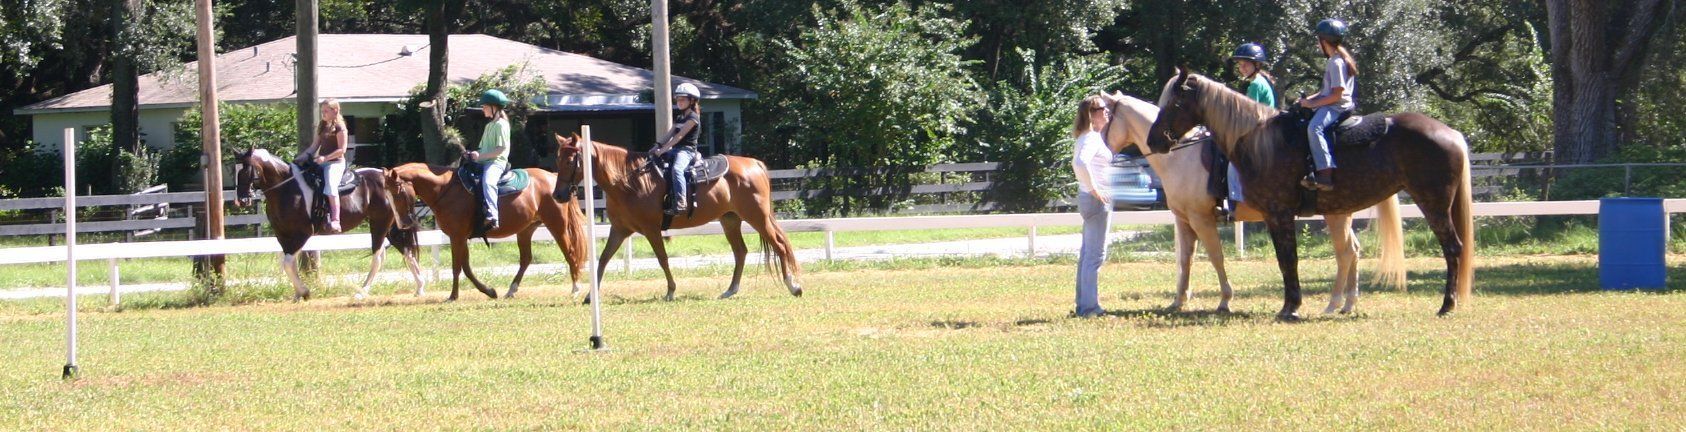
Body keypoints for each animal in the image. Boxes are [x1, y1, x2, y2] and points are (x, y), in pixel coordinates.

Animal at [232, 148, 425, 301]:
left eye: (247, 170)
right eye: (237, 172)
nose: (242, 200)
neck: (286, 188)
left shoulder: (302, 234)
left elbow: (287, 263)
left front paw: (304, 291)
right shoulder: (282, 235)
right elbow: (289, 263)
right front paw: (298, 294)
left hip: (380, 223)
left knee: (378, 256)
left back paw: (361, 292)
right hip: (391, 226)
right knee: (406, 251)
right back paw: (420, 287)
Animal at [384, 162, 589, 301]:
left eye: (398, 192)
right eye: (387, 194)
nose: (403, 223)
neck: (446, 190)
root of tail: (553, 177)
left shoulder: (457, 237)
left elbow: (457, 267)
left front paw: (453, 296)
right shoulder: (461, 237)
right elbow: (466, 268)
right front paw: (489, 291)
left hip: (557, 225)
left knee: (570, 253)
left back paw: (576, 288)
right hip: (526, 230)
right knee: (526, 259)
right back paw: (511, 290)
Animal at [550, 133, 802, 301]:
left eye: (570, 161)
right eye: (558, 159)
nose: (558, 195)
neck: (629, 181)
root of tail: (754, 164)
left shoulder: (651, 229)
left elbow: (662, 258)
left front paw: (671, 291)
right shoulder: (619, 230)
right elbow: (603, 260)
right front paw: (590, 297)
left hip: (757, 217)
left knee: (779, 245)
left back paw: (793, 286)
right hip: (730, 220)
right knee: (741, 252)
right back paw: (730, 290)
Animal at [1106, 92, 1406, 315]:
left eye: (1104, 116)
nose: (1107, 152)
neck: (1181, 158)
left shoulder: (1202, 218)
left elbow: (1215, 257)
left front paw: (1225, 300)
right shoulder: (1184, 219)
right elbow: (1185, 260)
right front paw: (1179, 300)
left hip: (1336, 215)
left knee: (1346, 252)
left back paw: (1336, 304)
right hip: (1339, 213)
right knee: (1352, 251)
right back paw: (1347, 303)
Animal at [1147, 69, 1472, 318]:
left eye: (1174, 103)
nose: (1154, 140)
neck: (1261, 142)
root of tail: (1452, 134)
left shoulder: (1276, 214)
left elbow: (1287, 259)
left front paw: (1290, 307)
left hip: (1433, 203)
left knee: (1452, 248)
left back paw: (1446, 305)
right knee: (1349, 252)